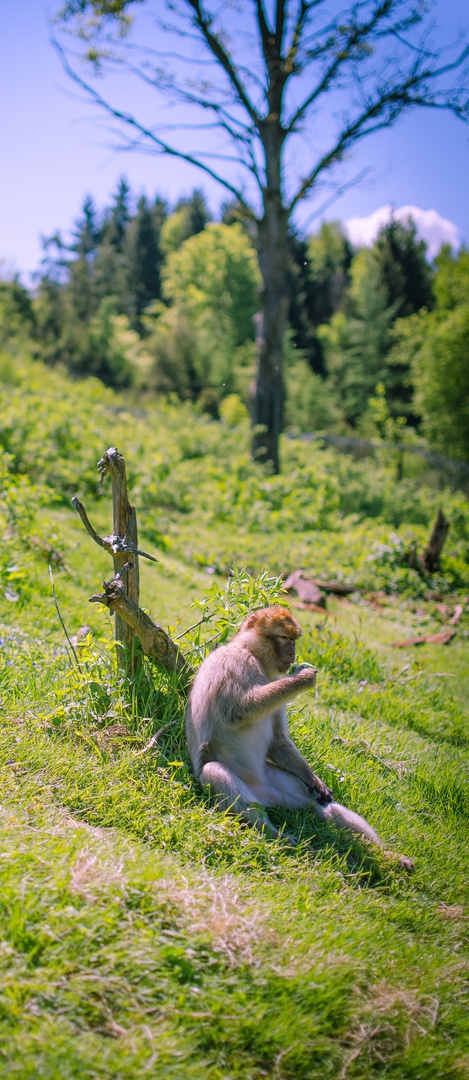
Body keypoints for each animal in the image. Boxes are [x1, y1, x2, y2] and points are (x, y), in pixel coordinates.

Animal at [186, 609, 414, 868]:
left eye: (294, 640)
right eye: (284, 638)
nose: (292, 653)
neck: (253, 654)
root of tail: (262, 794)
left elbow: (278, 741)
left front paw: (315, 780)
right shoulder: (234, 662)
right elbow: (236, 712)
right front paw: (301, 678)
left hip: (278, 785)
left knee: (321, 807)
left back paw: (387, 855)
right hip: (240, 787)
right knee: (215, 771)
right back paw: (276, 836)